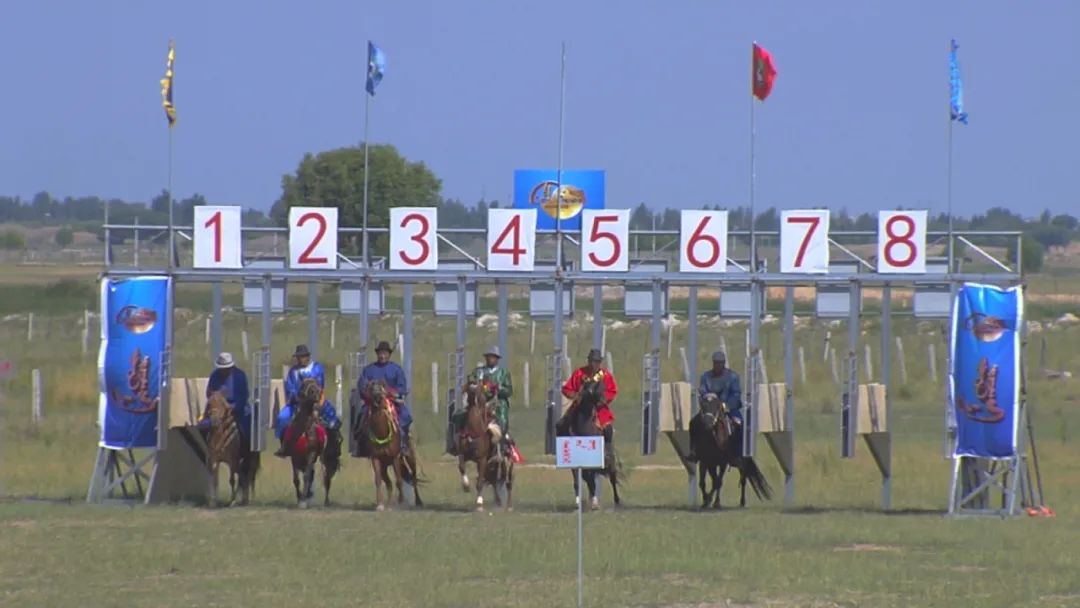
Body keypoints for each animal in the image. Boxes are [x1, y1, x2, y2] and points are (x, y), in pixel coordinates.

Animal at [282, 378, 339, 508]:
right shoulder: (294, 456)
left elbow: (307, 476)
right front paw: (300, 498)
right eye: (304, 385)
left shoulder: (311, 454)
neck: (303, 431)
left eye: (317, 386)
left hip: (324, 458)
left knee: (326, 477)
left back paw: (326, 501)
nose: (315, 394)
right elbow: (296, 479)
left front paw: (303, 500)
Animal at [356, 380, 421, 511]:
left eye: (382, 387)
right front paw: (380, 504)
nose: (377, 396)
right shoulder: (376, 459)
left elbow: (399, 480)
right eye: (370, 387)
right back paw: (389, 503)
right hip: (385, 466)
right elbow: (378, 480)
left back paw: (417, 501)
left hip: (409, 459)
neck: (382, 433)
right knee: (389, 482)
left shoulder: (395, 457)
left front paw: (401, 502)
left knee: (413, 477)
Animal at [456, 377, 514, 512]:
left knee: (507, 483)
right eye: (468, 387)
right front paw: (466, 486)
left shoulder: (481, 460)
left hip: (507, 465)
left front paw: (479, 502)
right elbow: (462, 467)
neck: (473, 431)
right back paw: (498, 501)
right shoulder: (463, 454)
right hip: (491, 467)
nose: (473, 400)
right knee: (493, 481)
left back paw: (508, 506)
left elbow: (480, 483)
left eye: (478, 388)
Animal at [557, 379, 622, 511]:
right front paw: (579, 502)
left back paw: (616, 501)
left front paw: (594, 502)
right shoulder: (575, 462)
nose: (603, 401)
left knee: (612, 478)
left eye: (604, 387)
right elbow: (579, 481)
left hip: (610, 460)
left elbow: (591, 480)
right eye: (591, 388)